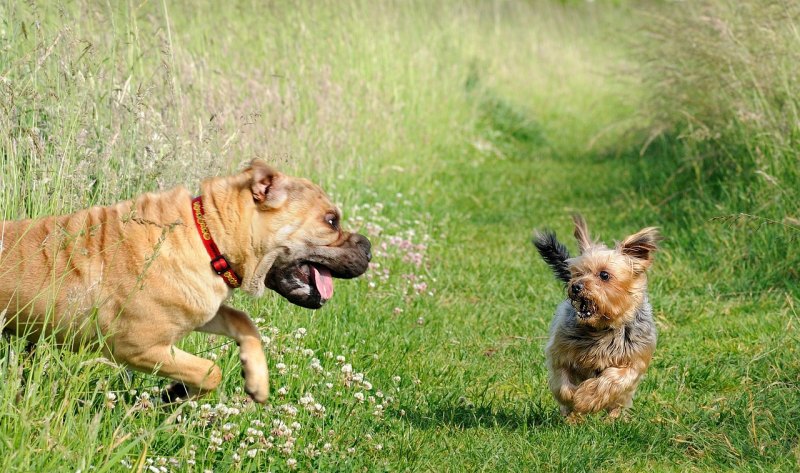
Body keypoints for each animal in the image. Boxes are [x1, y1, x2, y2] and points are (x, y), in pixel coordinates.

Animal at [0, 159, 372, 402]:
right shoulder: (138, 347)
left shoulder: (201, 309)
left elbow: (244, 322)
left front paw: (257, 381)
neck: (210, 235)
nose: (368, 247)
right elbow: (210, 371)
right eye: (331, 220)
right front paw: (176, 392)